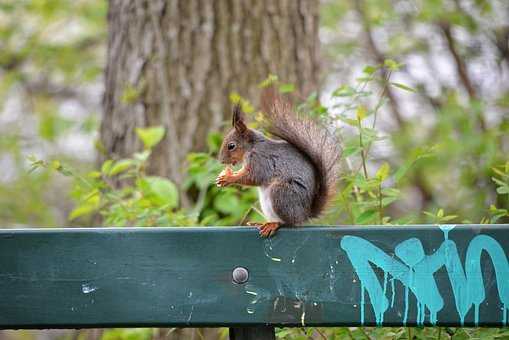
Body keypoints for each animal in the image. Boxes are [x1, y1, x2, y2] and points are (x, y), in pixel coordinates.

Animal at [214, 90, 342, 238]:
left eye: (231, 146)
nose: (221, 161)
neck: (252, 147)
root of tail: (304, 214)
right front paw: (225, 176)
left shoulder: (261, 160)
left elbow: (253, 177)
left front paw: (228, 178)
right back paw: (263, 223)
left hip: (281, 194)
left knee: (288, 222)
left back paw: (275, 224)